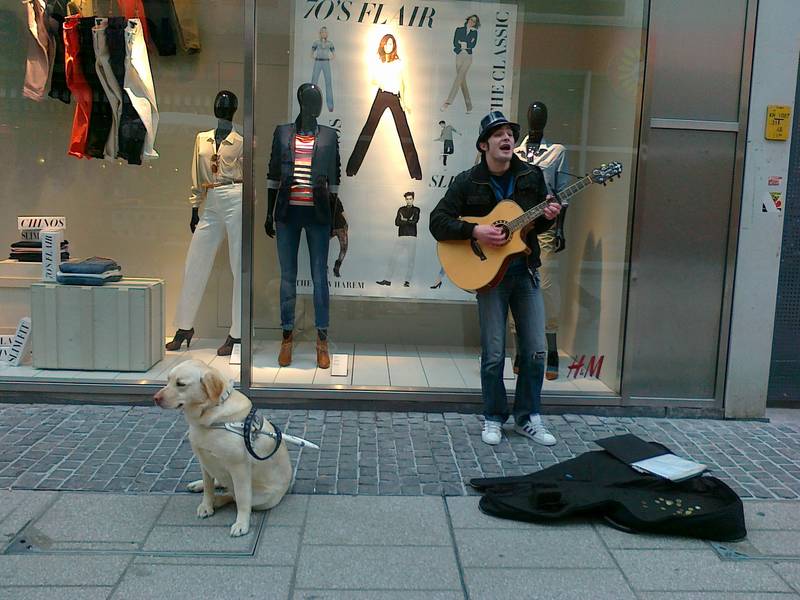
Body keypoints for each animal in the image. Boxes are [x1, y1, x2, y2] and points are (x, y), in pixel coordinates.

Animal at [154, 359, 292, 536]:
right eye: (168, 380)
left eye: (180, 384)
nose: (155, 398)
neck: (209, 418)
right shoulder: (204, 460)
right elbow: (208, 487)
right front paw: (206, 505)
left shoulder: (239, 468)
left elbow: (242, 499)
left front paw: (241, 524)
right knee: (221, 484)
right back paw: (201, 487)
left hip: (264, 498)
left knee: (232, 495)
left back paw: (218, 500)